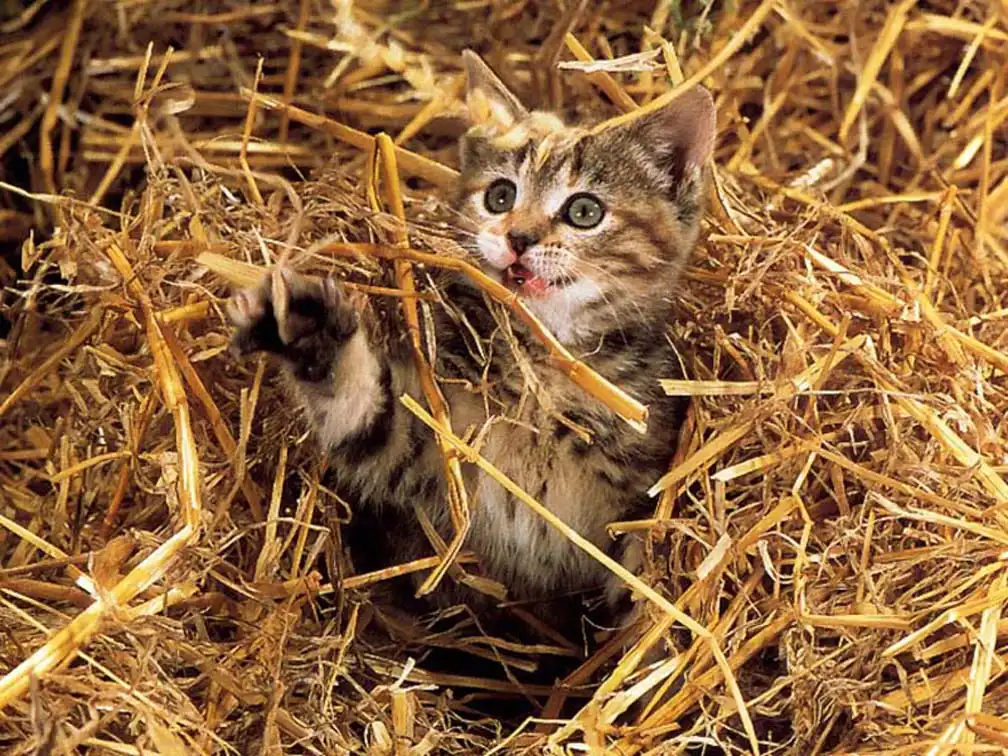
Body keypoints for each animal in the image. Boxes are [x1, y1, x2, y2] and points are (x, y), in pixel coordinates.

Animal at [226, 50, 715, 633]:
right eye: (500, 196)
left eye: (584, 211)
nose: (518, 237)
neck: (539, 365)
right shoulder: (426, 450)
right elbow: (363, 413)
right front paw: (312, 329)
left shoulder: (640, 476)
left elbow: (640, 564)